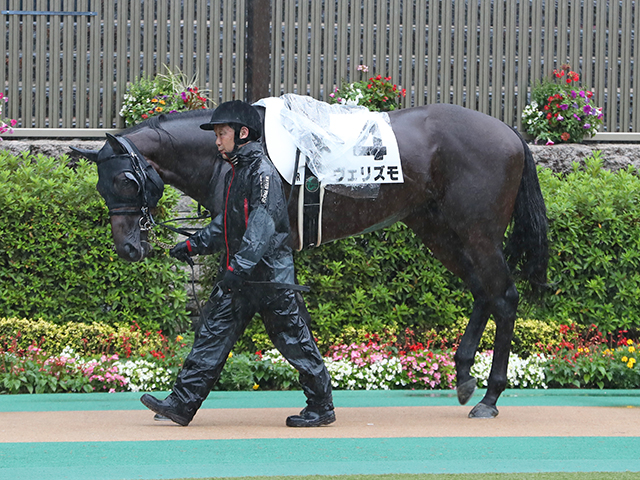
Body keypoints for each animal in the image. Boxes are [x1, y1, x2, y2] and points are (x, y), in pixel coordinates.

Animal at [71, 101, 548, 419]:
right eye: (101, 186)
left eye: (126, 179)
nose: (128, 248)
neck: (236, 153)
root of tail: (510, 133)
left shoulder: (251, 249)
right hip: (440, 231)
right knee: (483, 292)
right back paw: (465, 376)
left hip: (476, 232)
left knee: (504, 296)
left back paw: (490, 397)